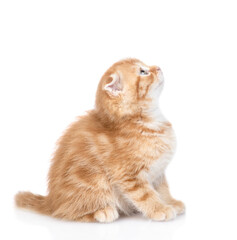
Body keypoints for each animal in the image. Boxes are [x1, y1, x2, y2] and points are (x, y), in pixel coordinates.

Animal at [15, 58, 185, 223]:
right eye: (143, 72)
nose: (158, 67)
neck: (149, 121)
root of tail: (51, 202)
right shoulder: (128, 175)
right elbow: (145, 195)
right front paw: (159, 209)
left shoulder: (159, 172)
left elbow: (163, 189)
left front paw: (171, 202)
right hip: (94, 181)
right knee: (67, 212)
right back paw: (102, 211)